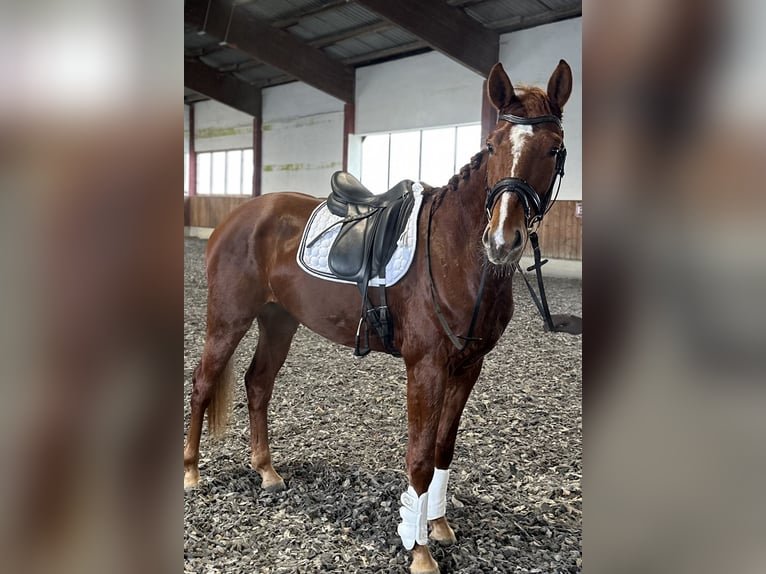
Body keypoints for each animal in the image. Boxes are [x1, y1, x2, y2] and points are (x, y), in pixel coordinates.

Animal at [184, 60, 568, 572]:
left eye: (554, 148)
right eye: (492, 146)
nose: (503, 240)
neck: (454, 253)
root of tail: (237, 217)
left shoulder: (469, 366)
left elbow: (444, 447)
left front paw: (438, 526)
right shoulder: (425, 367)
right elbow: (420, 456)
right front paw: (419, 549)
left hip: (278, 320)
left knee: (257, 383)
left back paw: (266, 471)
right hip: (228, 319)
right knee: (204, 382)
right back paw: (191, 473)